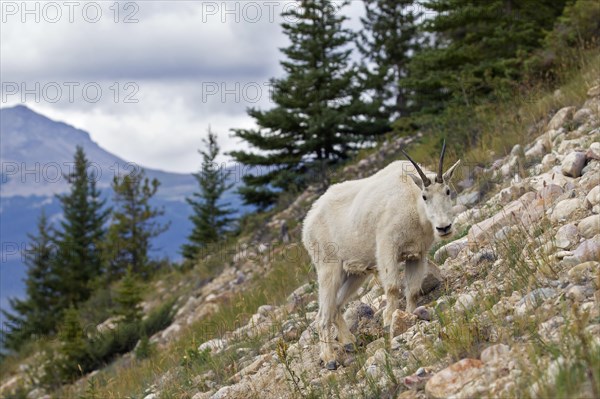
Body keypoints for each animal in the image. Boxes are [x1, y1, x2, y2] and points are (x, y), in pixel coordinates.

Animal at [302, 142, 462, 370]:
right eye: (425, 196)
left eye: (448, 191)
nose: (444, 228)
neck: (413, 204)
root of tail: (307, 224)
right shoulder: (387, 247)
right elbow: (394, 287)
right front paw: (389, 322)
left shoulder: (417, 255)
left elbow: (413, 291)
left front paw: (408, 317)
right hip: (327, 267)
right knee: (322, 314)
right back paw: (329, 358)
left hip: (353, 273)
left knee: (336, 306)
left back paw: (349, 343)